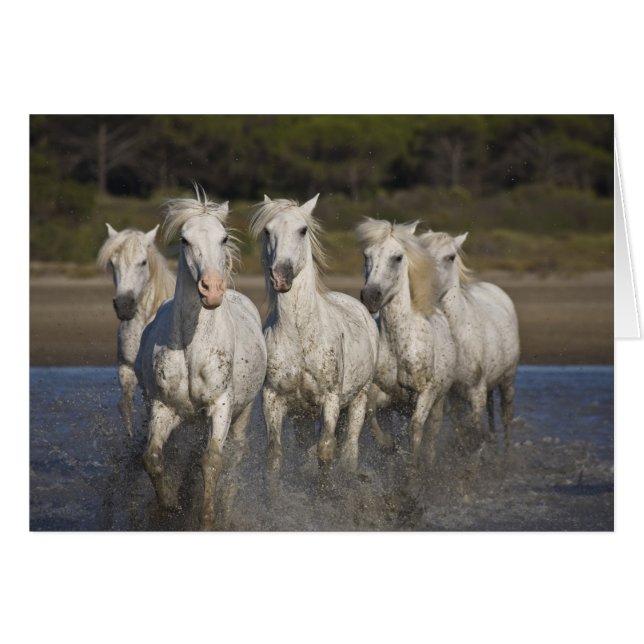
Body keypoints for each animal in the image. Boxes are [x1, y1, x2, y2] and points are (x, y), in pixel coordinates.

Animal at [135, 190, 267, 529]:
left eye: (223, 238)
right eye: (184, 240)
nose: (212, 290)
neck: (191, 347)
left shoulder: (221, 406)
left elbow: (212, 461)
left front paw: (207, 518)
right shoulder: (163, 407)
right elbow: (153, 458)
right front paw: (169, 505)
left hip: (243, 412)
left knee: (235, 456)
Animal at [249, 195, 379, 477]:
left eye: (303, 230)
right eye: (268, 231)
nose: (281, 276)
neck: (300, 335)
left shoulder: (330, 399)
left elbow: (326, 450)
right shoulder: (272, 400)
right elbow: (274, 455)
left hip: (358, 399)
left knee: (349, 450)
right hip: (304, 416)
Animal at [356, 218, 456, 468]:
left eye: (398, 257)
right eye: (366, 255)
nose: (370, 296)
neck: (399, 345)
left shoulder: (427, 393)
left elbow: (415, 429)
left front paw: (413, 470)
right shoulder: (382, 393)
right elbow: (370, 413)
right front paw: (387, 445)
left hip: (438, 403)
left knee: (431, 435)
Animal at [418, 230, 520, 450]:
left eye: (451, 257)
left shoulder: (476, 391)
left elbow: (473, 430)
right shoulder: (451, 395)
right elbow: (462, 431)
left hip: (507, 380)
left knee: (506, 419)